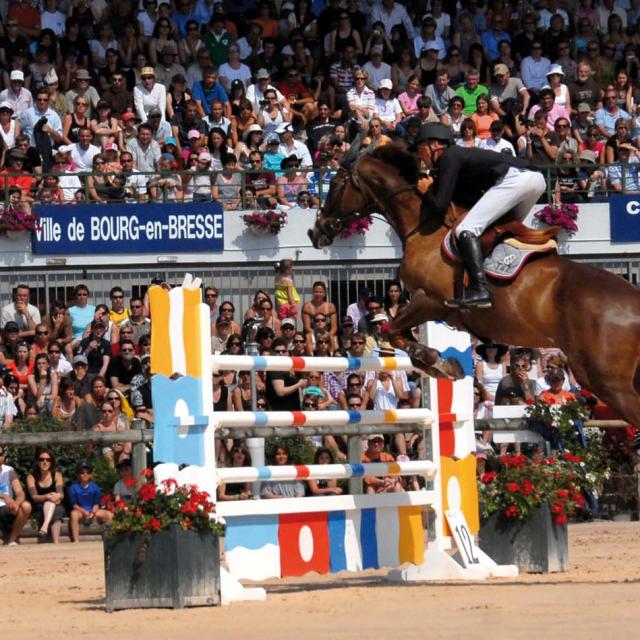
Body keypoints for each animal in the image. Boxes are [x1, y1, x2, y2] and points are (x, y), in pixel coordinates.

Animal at [308, 144, 640, 424]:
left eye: (336, 185)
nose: (315, 232)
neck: (422, 227)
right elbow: (395, 333)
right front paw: (441, 364)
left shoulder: (430, 300)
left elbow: (391, 331)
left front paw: (439, 363)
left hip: (607, 381)